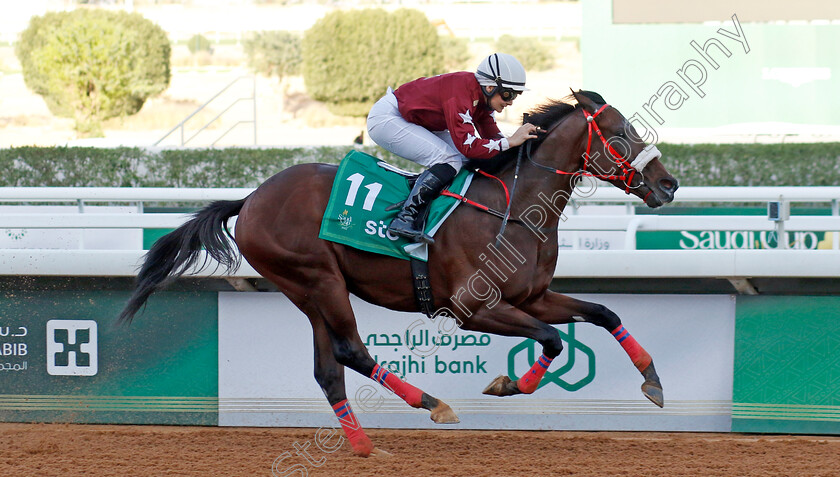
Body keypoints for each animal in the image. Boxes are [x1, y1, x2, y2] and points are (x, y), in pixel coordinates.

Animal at [121, 91, 680, 456]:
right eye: (621, 135)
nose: (668, 184)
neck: (515, 208)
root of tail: (251, 198)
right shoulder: (472, 308)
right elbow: (552, 339)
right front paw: (507, 385)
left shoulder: (532, 296)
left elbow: (601, 313)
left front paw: (653, 381)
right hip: (317, 278)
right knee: (351, 351)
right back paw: (431, 403)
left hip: (309, 291)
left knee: (329, 369)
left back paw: (366, 447)